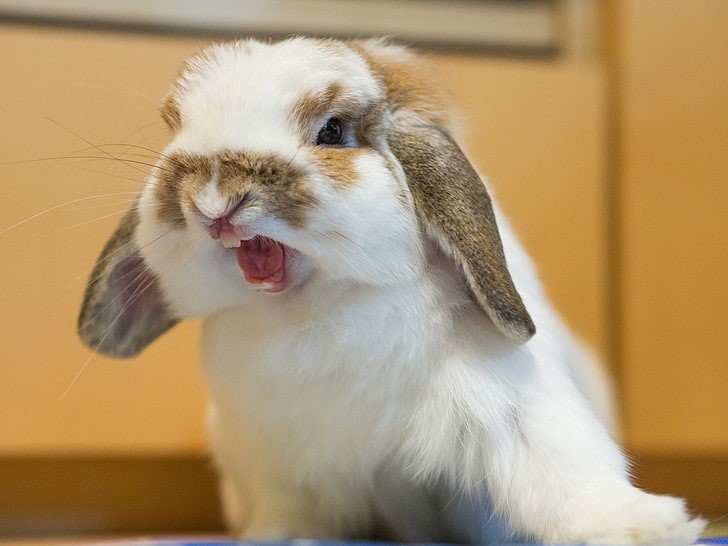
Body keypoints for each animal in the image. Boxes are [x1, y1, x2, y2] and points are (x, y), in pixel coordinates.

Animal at [78, 37, 705, 544]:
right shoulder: (276, 456)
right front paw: (282, 537)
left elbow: (564, 471)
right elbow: (292, 511)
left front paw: (647, 525)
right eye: (176, 129)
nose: (215, 198)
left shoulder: (515, 408)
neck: (317, 308)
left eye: (331, 131)